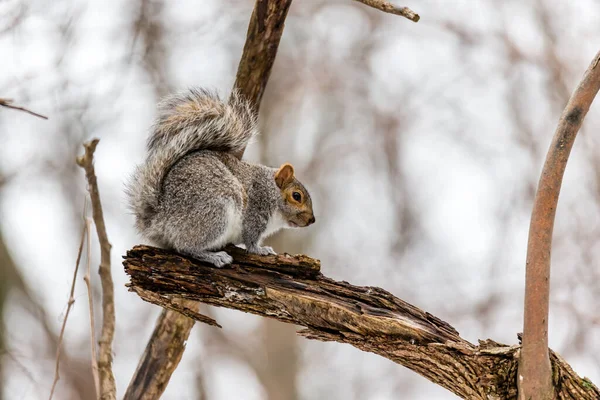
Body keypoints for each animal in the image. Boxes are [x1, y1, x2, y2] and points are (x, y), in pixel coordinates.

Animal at [126, 89, 314, 268]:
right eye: (296, 196)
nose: (312, 220)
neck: (271, 190)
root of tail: (159, 216)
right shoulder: (256, 209)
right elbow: (251, 240)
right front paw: (261, 250)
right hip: (215, 211)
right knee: (185, 246)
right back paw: (214, 257)